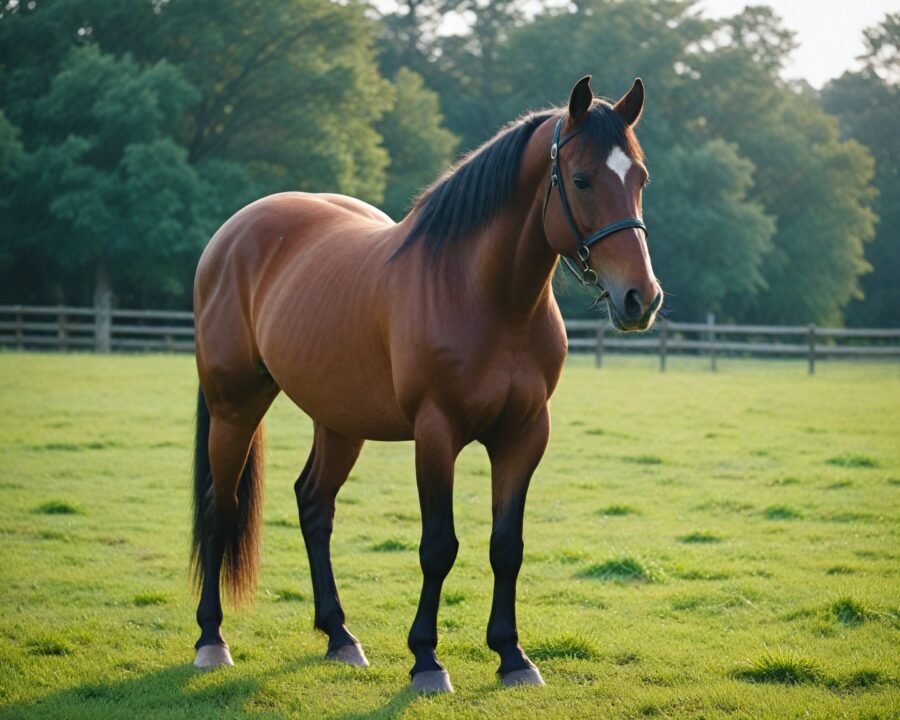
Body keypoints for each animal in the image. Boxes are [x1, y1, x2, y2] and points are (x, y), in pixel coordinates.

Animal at [190, 75, 662, 693]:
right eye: (581, 179)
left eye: (640, 178)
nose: (641, 299)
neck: (487, 296)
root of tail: (229, 236)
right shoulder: (437, 434)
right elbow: (439, 547)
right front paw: (427, 660)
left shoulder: (524, 435)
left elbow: (506, 546)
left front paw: (512, 656)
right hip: (235, 406)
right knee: (219, 508)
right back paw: (211, 639)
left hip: (339, 421)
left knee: (314, 506)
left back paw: (340, 636)